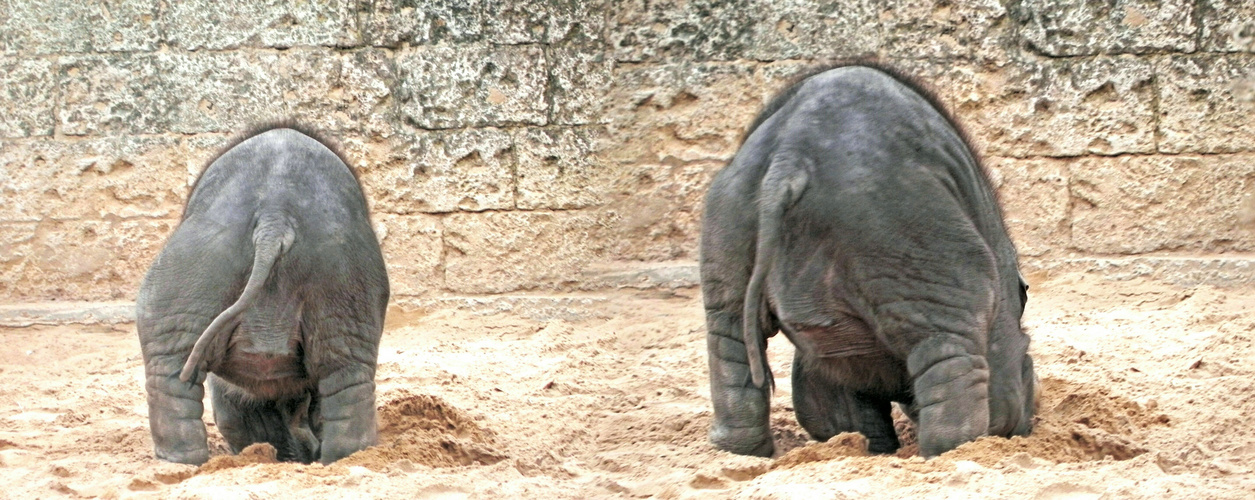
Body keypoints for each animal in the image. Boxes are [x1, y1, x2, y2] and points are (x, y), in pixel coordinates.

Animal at [702, 64, 1034, 459]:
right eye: (1027, 360)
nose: (1031, 423)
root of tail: (790, 160)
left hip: (727, 222)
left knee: (728, 335)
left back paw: (739, 451)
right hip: (909, 234)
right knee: (948, 344)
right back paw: (957, 451)